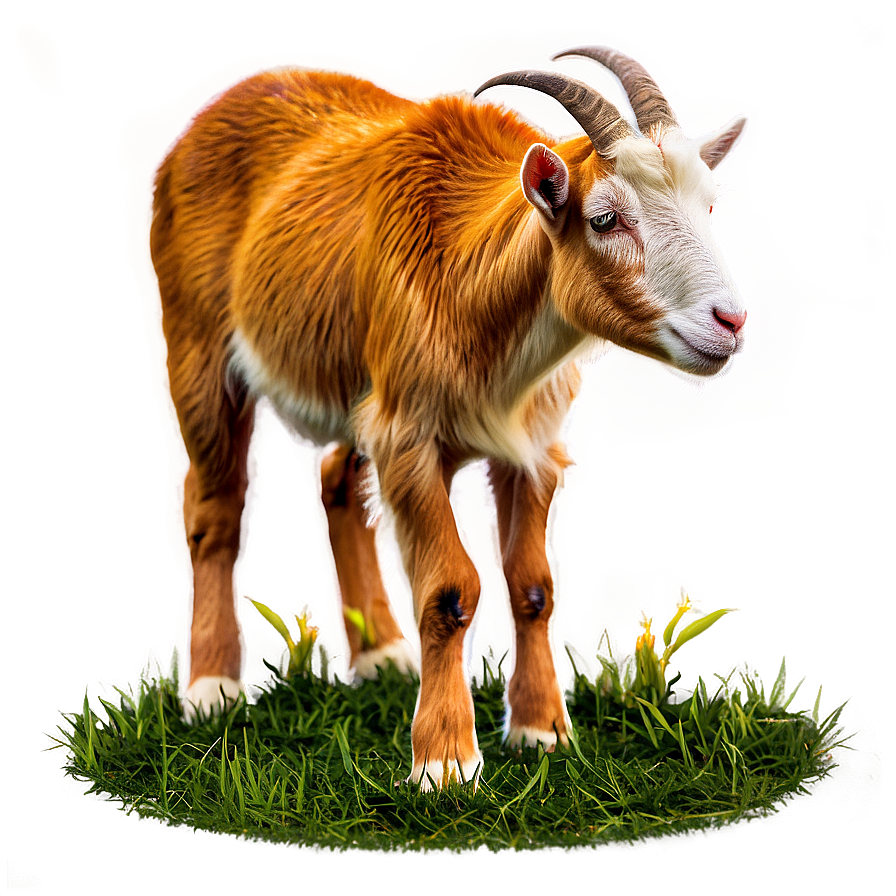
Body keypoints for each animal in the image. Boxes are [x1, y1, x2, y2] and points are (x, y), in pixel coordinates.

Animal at [149, 46, 748, 790]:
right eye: (605, 218)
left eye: (711, 204)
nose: (730, 321)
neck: (468, 281)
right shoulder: (409, 439)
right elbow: (449, 590)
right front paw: (444, 761)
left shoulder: (532, 447)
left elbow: (534, 586)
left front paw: (540, 730)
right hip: (196, 339)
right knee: (214, 505)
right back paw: (211, 688)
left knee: (336, 478)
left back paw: (378, 654)